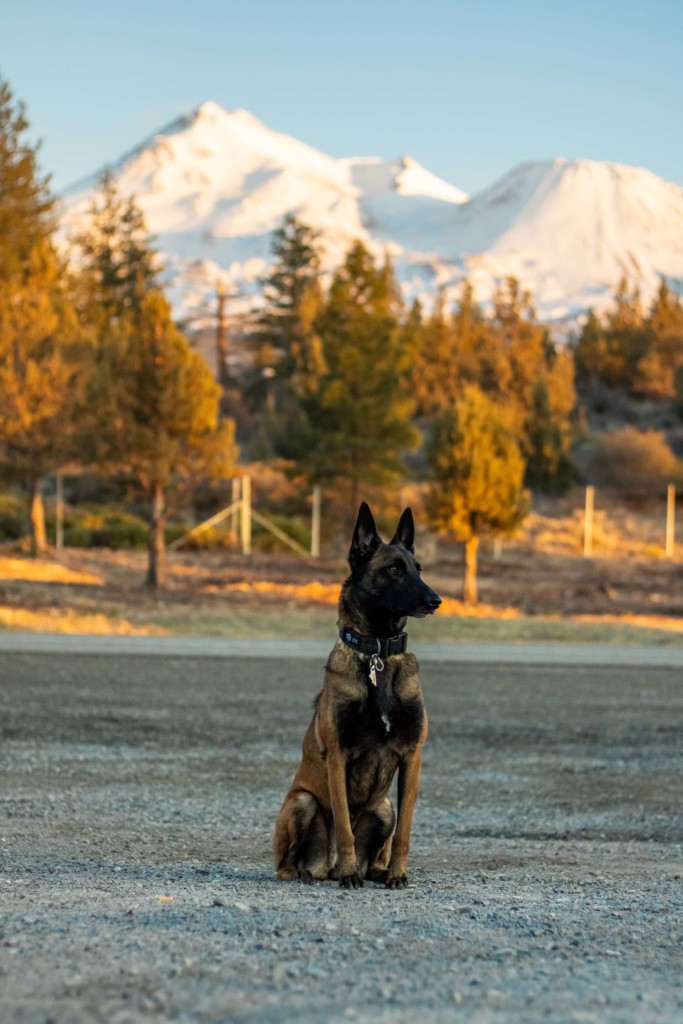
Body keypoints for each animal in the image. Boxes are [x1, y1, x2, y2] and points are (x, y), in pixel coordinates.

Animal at [274, 499, 444, 884]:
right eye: (394, 569)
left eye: (418, 569)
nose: (435, 600)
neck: (377, 653)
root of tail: (325, 867)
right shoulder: (338, 755)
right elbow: (344, 826)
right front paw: (350, 872)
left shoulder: (412, 758)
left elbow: (404, 832)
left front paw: (398, 874)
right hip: (301, 802)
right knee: (286, 866)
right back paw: (315, 873)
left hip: (383, 808)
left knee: (378, 848)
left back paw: (376, 873)